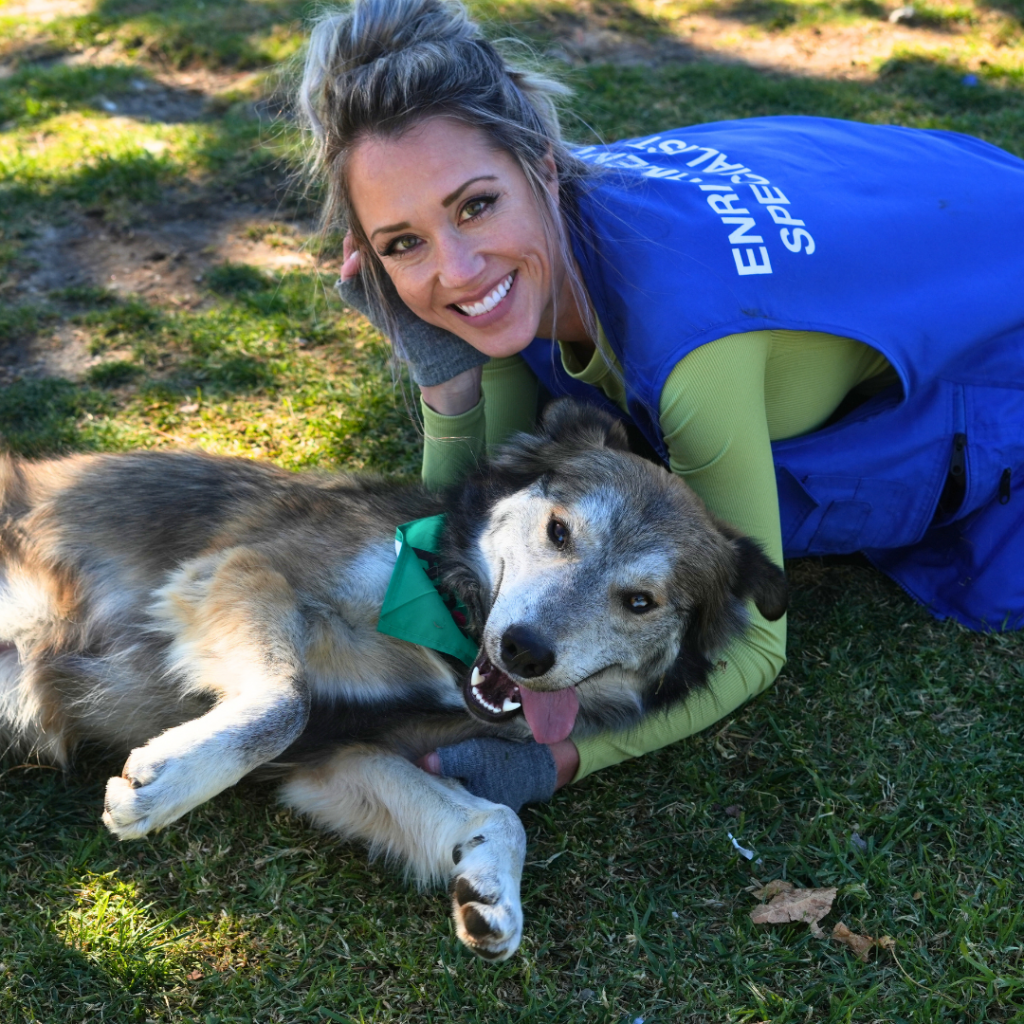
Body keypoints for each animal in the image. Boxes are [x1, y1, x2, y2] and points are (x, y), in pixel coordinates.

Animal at [0, 399, 786, 958]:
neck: (446, 633)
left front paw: (492, 888)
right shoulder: (241, 571)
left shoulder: (334, 760)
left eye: (641, 602)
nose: (525, 652)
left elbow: (496, 813)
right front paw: (165, 783)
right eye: (560, 532)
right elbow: (285, 701)